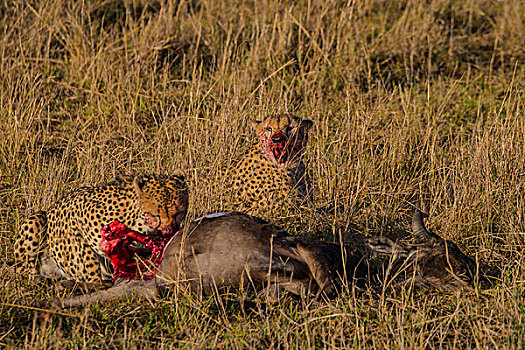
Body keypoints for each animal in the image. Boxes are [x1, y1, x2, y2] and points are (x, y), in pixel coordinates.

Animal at [12, 173, 189, 284]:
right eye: (155, 214)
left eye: (179, 213)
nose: (169, 231)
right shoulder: (75, 216)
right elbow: (86, 257)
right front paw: (93, 280)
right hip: (37, 218)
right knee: (22, 268)